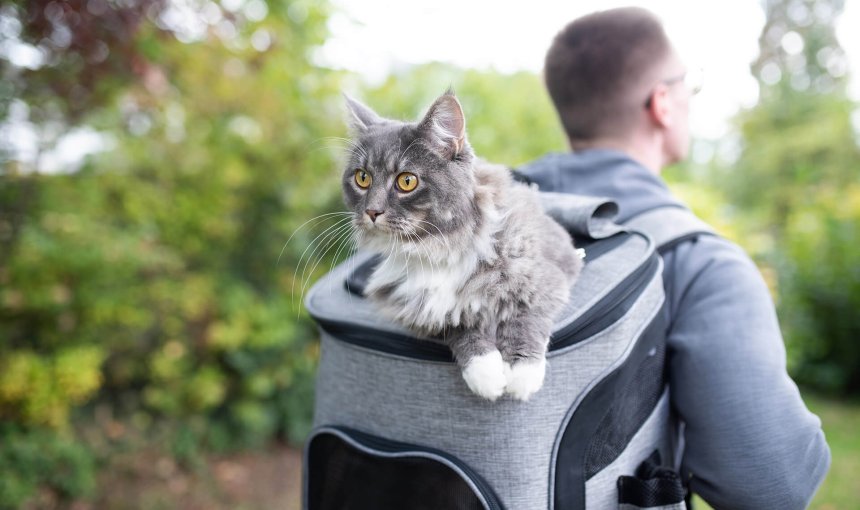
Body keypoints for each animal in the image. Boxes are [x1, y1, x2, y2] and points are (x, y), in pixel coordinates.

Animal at [340, 92, 580, 402]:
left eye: (407, 181)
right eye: (362, 178)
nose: (372, 211)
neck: (436, 249)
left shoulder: (550, 274)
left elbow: (526, 316)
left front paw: (521, 373)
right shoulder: (414, 308)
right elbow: (458, 325)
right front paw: (486, 374)